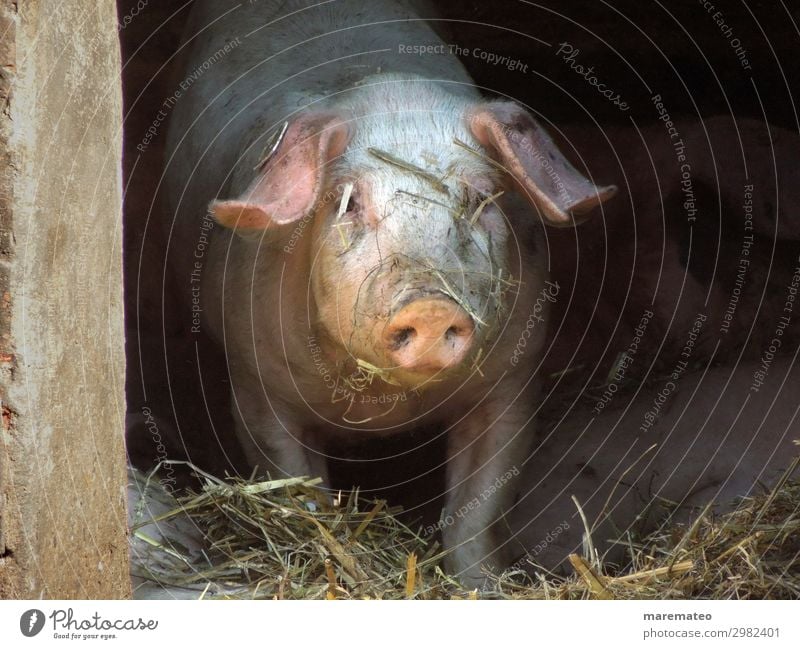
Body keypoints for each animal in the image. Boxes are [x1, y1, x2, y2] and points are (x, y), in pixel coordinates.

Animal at [162, 0, 612, 588]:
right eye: (348, 203)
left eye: (480, 198)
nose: (430, 304)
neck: (385, 406)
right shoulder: (258, 386)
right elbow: (300, 492)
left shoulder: (513, 382)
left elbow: (476, 510)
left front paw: (481, 586)